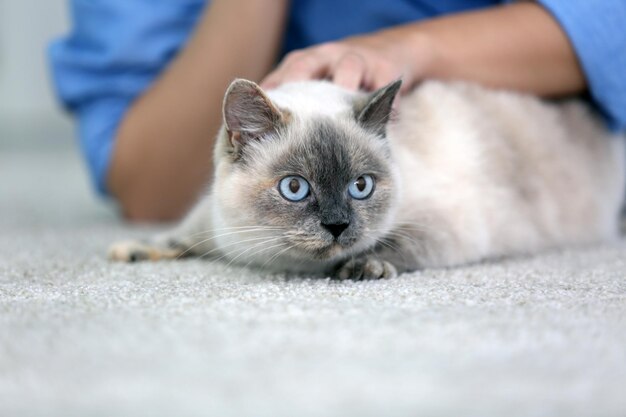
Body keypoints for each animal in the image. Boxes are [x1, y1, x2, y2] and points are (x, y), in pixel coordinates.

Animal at [108, 78, 624, 280]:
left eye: (361, 187)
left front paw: (361, 266)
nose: (337, 226)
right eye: (295, 188)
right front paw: (133, 250)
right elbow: (179, 236)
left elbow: (394, 244)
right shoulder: (213, 224)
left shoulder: (445, 226)